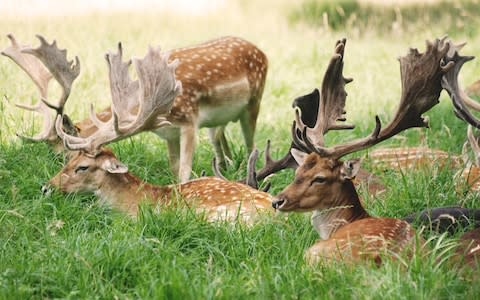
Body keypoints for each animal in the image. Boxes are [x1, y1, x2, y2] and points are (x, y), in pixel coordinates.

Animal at [1, 34, 268, 182]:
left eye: (65, 154)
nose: (56, 177)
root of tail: (261, 51)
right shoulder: (168, 133)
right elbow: (174, 168)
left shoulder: (190, 120)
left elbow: (184, 170)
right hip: (219, 120)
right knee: (218, 136)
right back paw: (227, 165)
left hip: (254, 102)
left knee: (251, 144)